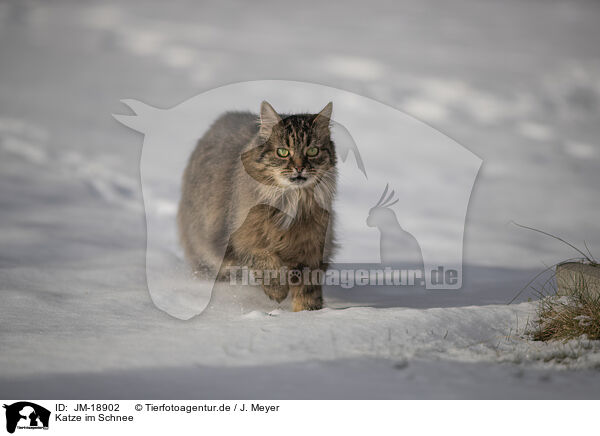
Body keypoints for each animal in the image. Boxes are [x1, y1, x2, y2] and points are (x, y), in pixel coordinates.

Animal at [178, 100, 338, 312]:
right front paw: (277, 291)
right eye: (283, 152)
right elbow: (264, 258)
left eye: (312, 151)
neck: (291, 202)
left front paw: (307, 312)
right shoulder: (241, 239)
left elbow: (307, 288)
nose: (299, 168)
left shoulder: (312, 248)